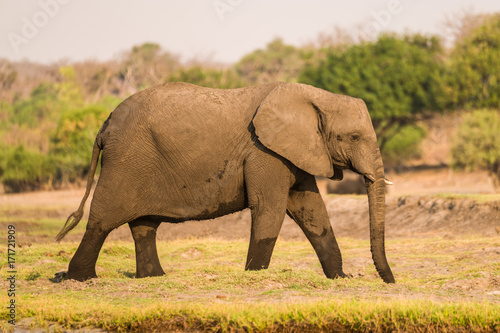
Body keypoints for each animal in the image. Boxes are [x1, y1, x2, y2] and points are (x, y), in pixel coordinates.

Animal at [56, 81, 396, 282]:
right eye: (353, 137)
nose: (389, 281)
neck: (316, 97)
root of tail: (105, 125)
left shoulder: (294, 151)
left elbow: (310, 209)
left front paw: (339, 279)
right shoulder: (264, 150)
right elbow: (270, 207)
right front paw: (253, 277)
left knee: (144, 225)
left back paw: (153, 278)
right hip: (126, 160)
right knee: (102, 219)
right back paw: (78, 279)